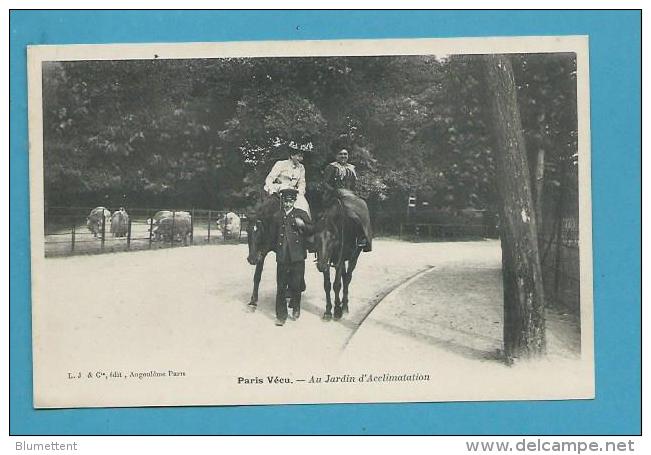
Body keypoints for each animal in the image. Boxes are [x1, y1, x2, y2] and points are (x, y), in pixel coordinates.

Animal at [314, 194, 370, 322]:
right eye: (316, 237)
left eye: (332, 238)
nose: (320, 266)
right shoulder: (328, 262)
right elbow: (327, 285)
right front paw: (328, 311)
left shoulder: (339, 262)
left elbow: (336, 285)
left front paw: (337, 311)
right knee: (344, 278)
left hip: (354, 257)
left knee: (347, 279)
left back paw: (344, 306)